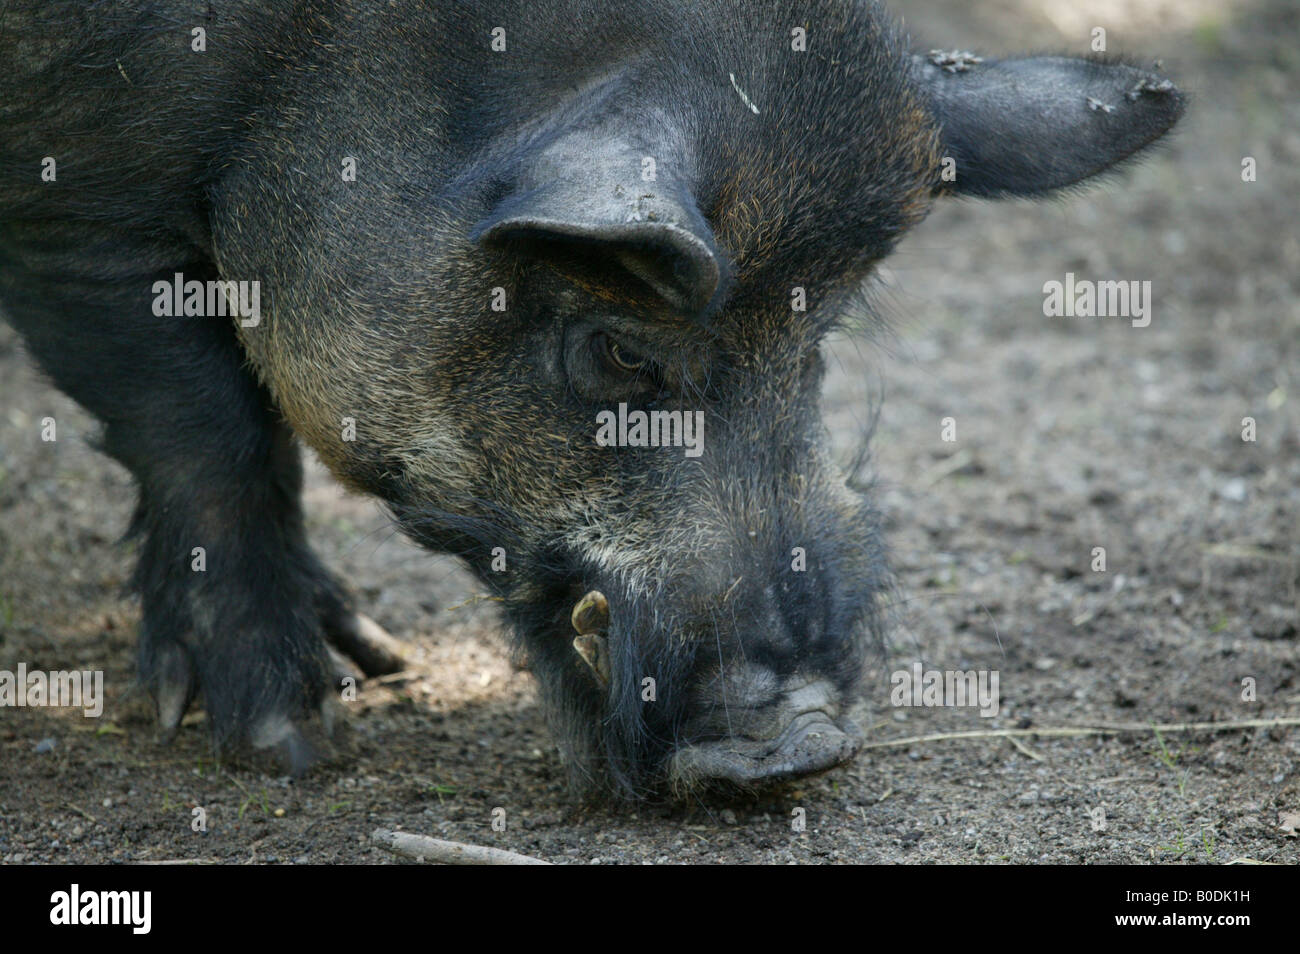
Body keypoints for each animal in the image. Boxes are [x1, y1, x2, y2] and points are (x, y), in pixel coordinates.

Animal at [0, 0, 1183, 799]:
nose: (807, 741)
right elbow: (212, 439)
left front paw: (372, 663)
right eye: (616, 352)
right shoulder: (83, 210)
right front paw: (294, 748)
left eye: (817, 337)